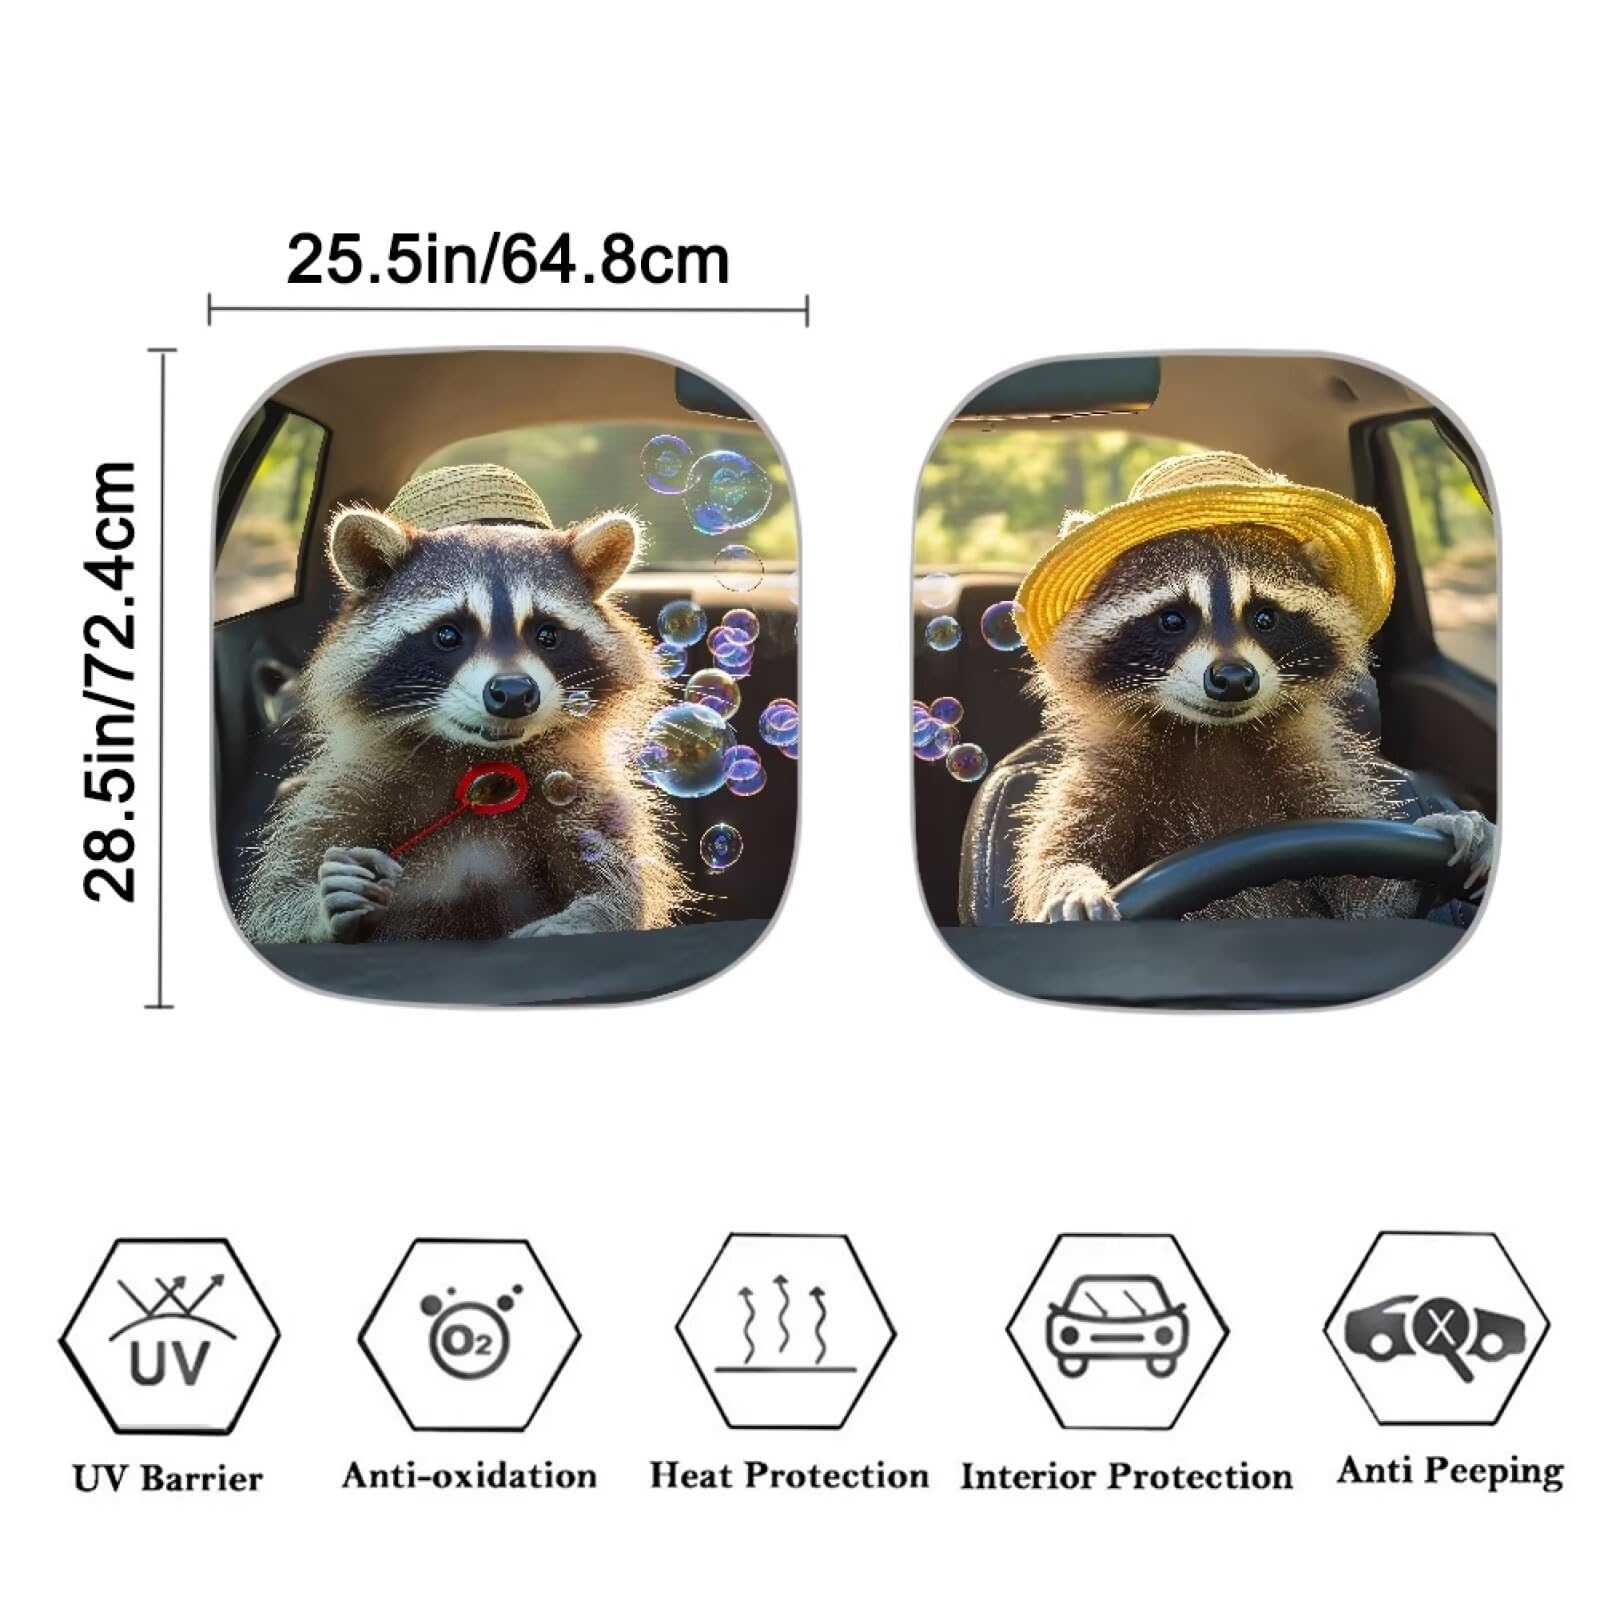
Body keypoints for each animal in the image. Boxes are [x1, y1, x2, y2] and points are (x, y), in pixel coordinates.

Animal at [237, 496, 687, 942]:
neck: (476, 761)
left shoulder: (583, 787)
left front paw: (581, 920)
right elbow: (275, 901)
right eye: (448, 634)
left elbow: (623, 885)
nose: (514, 693)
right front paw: (320, 906)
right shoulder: (351, 785)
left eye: (547, 634)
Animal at [1012, 526, 1494, 921]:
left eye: (1265, 617)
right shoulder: (1105, 772)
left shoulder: (1312, 772)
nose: (1233, 678)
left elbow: (1374, 901)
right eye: (1173, 619)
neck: (1212, 735)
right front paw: (1071, 882)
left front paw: (1448, 833)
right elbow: (1060, 848)